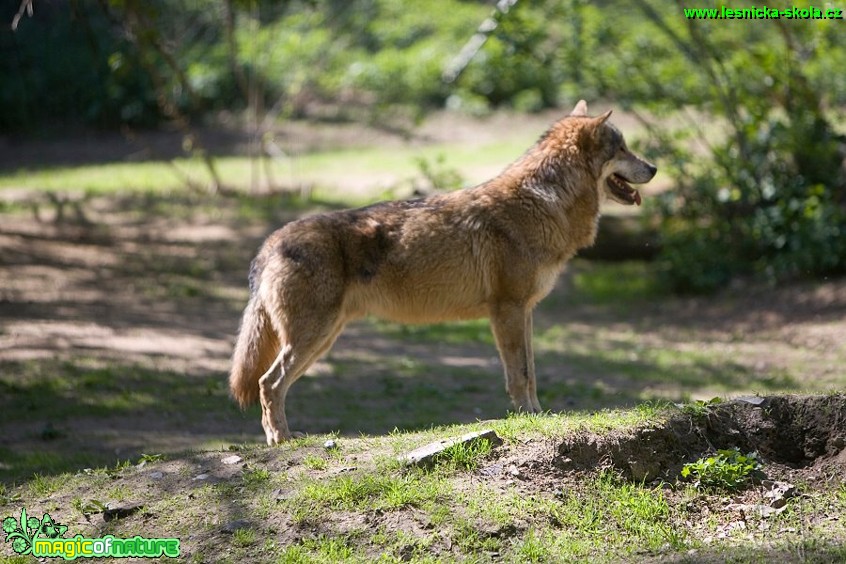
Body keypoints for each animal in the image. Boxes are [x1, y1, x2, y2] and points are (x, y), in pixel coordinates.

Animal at [230, 102, 656, 446]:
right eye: (622, 148)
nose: (653, 167)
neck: (542, 202)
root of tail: (270, 243)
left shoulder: (525, 312)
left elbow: (531, 371)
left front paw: (537, 415)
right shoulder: (506, 310)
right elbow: (518, 374)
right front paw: (525, 416)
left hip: (322, 339)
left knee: (269, 383)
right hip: (312, 338)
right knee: (268, 383)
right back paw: (281, 439)